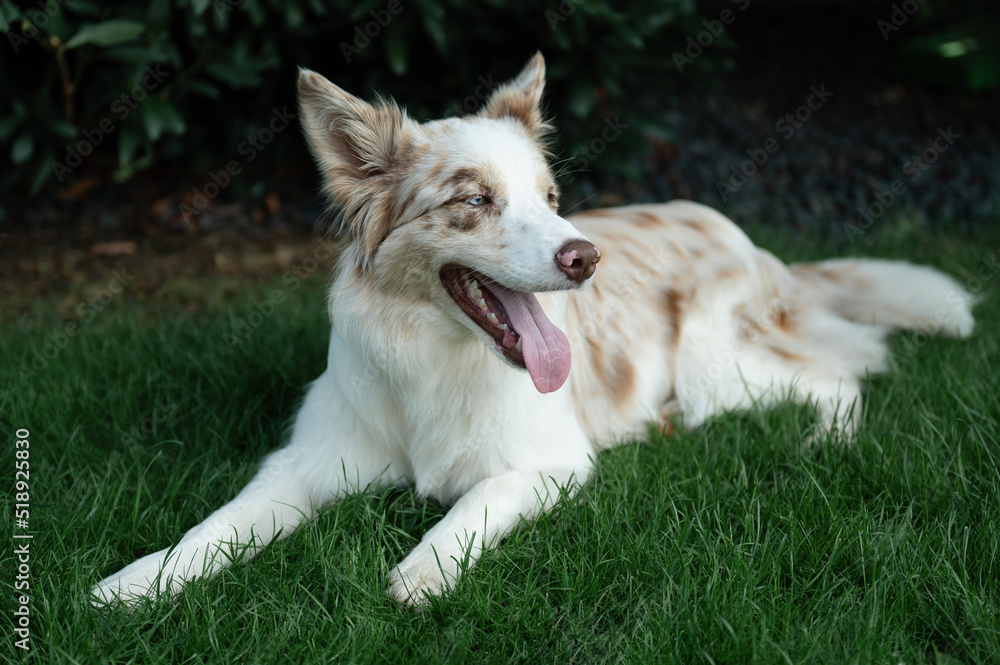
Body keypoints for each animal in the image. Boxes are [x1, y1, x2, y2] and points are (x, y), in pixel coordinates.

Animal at [90, 53, 972, 608]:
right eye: (474, 199)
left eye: (549, 197)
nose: (584, 256)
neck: (435, 363)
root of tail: (756, 244)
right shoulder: (303, 463)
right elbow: (217, 524)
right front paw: (137, 582)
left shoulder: (550, 463)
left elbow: (474, 502)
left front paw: (422, 571)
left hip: (715, 368)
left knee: (840, 373)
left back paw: (827, 441)